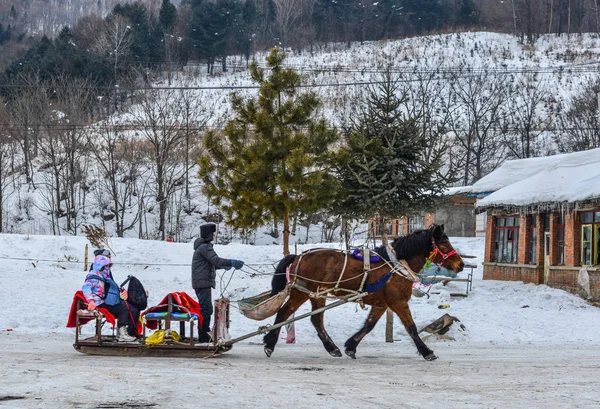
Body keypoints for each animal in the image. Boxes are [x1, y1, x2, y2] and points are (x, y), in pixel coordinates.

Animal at [262, 223, 464, 360]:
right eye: (444, 244)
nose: (460, 264)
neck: (395, 266)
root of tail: (298, 256)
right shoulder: (398, 302)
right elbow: (411, 327)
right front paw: (427, 352)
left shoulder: (381, 304)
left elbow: (369, 325)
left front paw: (351, 346)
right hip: (302, 292)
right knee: (285, 312)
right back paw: (269, 344)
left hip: (316, 295)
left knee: (315, 320)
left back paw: (332, 348)